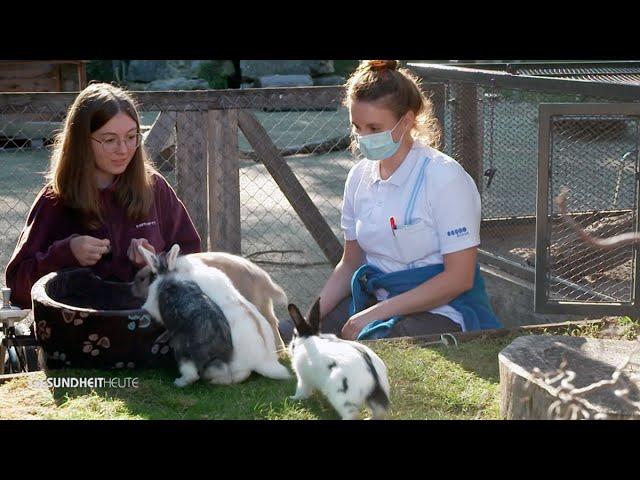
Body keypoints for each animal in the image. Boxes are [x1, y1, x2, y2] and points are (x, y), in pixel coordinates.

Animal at [131, 249, 286, 354]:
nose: (131, 287)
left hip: (260, 305)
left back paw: (279, 350)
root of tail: (264, 278)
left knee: (272, 323)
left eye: (143, 279)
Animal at [139, 244, 234, 386]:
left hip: (182, 349)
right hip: (218, 362)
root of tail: (214, 347)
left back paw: (179, 382)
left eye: (153, 275)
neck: (167, 276)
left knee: (192, 375)